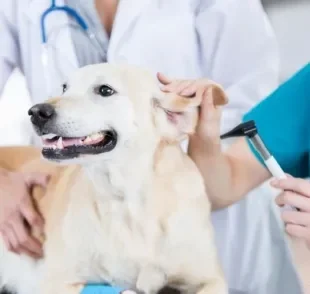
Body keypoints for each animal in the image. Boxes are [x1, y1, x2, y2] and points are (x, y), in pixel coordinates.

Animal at [0, 63, 228, 294]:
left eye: (105, 90)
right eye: (65, 88)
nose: (36, 112)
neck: (128, 201)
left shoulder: (213, 279)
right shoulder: (56, 281)